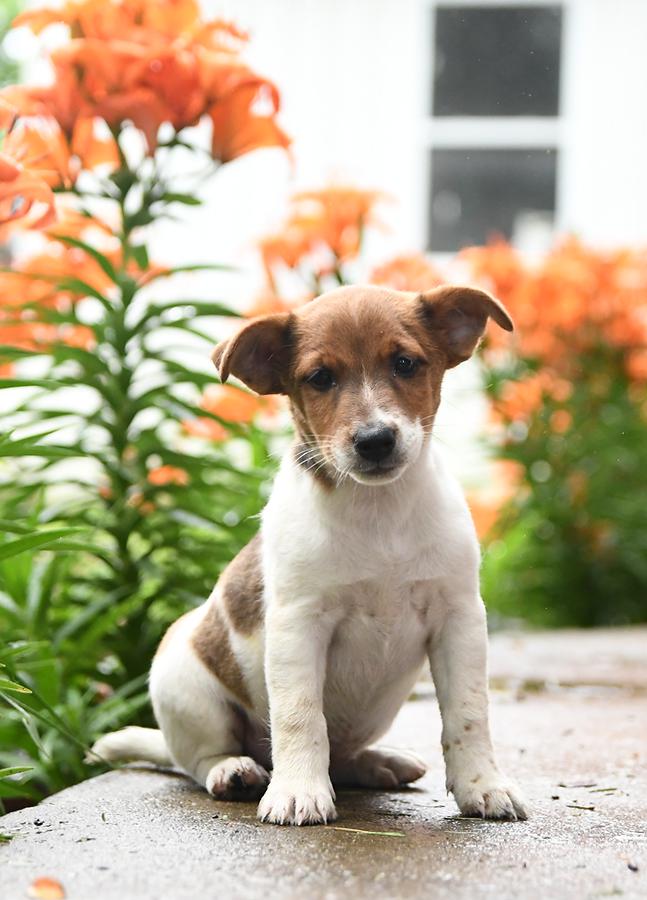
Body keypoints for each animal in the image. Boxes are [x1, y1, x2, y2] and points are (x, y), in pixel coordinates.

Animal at [93, 284, 528, 828]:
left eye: (405, 364)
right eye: (320, 378)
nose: (375, 441)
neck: (377, 511)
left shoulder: (459, 619)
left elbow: (469, 714)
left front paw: (482, 785)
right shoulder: (298, 625)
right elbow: (300, 716)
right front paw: (298, 791)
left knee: (341, 758)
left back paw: (377, 762)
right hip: (186, 690)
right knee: (198, 759)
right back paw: (234, 771)